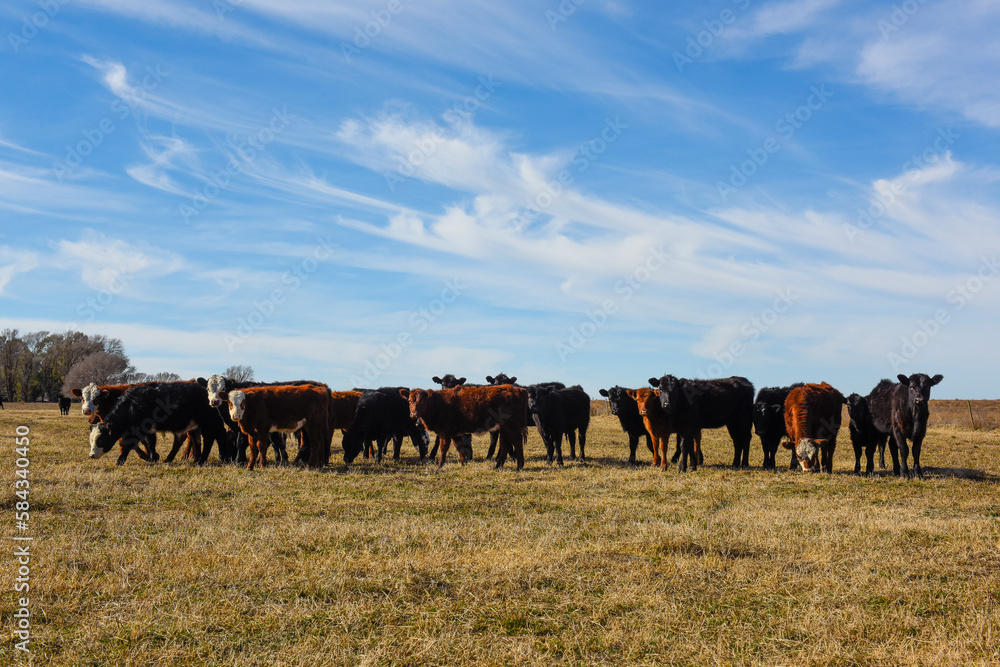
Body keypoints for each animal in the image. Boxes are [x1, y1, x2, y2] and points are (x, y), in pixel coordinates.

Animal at [89, 382, 226, 466]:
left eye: (101, 439)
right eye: (91, 440)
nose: (91, 455)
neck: (132, 404)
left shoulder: (141, 428)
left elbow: (130, 444)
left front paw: (120, 461)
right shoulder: (148, 430)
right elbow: (150, 443)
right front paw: (153, 458)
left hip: (207, 423)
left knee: (210, 439)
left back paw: (203, 460)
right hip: (197, 425)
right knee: (197, 440)